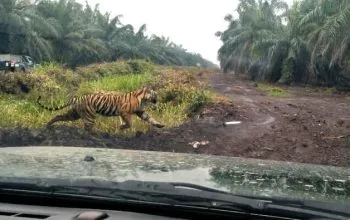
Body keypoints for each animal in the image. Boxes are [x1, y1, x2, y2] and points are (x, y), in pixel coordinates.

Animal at [36, 87, 165, 132]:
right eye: (155, 95)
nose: (158, 100)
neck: (143, 99)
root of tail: (77, 98)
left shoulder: (141, 112)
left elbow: (150, 119)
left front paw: (160, 125)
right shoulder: (125, 112)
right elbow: (129, 123)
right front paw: (120, 128)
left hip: (74, 114)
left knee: (58, 116)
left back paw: (48, 125)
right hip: (89, 117)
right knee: (87, 129)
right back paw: (95, 136)